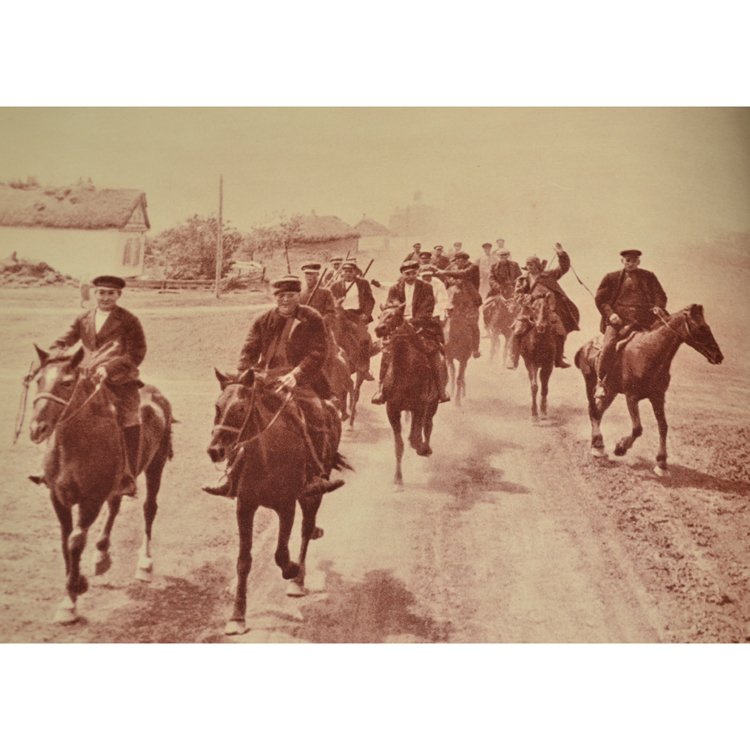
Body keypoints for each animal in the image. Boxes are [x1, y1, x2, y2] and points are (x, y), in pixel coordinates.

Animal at [28, 345, 173, 624]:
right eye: (39, 380)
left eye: (67, 383)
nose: (37, 428)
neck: (73, 444)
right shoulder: (58, 498)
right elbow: (65, 541)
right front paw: (76, 584)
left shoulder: (91, 500)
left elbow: (75, 541)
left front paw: (71, 599)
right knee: (115, 505)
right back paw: (101, 553)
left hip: (156, 465)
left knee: (149, 508)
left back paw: (144, 563)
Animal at [207, 369, 348, 635]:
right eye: (217, 406)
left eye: (241, 409)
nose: (215, 451)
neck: (266, 455)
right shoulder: (245, 507)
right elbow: (243, 561)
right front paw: (237, 616)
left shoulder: (287, 506)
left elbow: (281, 554)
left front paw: (292, 569)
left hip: (312, 494)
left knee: (306, 530)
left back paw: (298, 581)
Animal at [373, 304, 440, 485]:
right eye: (379, 316)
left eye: (396, 315)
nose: (379, 329)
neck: (405, 372)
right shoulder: (392, 409)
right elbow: (399, 445)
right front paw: (398, 480)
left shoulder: (421, 406)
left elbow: (417, 436)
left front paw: (421, 447)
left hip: (433, 404)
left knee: (428, 424)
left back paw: (426, 447)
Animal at [575, 304, 723, 475]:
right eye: (701, 327)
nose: (718, 356)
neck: (648, 353)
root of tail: (584, 347)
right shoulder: (631, 397)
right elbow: (637, 428)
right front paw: (621, 448)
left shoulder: (658, 397)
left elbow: (663, 426)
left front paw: (661, 463)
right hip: (590, 381)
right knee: (592, 410)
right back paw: (598, 446)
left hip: (611, 391)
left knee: (598, 412)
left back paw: (598, 445)